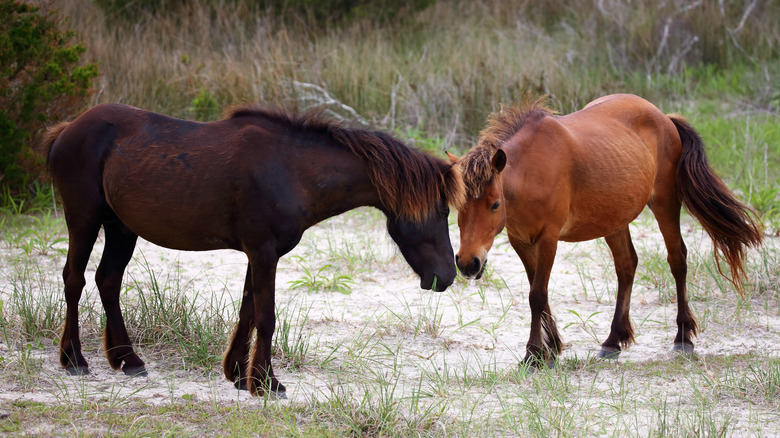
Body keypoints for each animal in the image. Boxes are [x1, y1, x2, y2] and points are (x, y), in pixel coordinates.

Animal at [42, 103, 466, 396]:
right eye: (441, 210)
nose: (448, 275)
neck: (292, 171)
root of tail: (67, 129)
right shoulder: (263, 252)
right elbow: (266, 315)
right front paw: (266, 382)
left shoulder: (257, 254)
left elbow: (247, 310)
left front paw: (238, 373)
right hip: (84, 219)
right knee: (74, 280)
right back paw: (74, 360)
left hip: (120, 228)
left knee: (108, 281)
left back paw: (127, 359)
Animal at [450, 94, 760, 364]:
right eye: (458, 206)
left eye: (494, 204)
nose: (467, 263)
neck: (531, 172)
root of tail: (664, 117)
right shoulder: (521, 241)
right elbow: (538, 293)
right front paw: (552, 348)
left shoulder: (549, 239)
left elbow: (537, 295)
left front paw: (534, 354)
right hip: (614, 220)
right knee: (627, 265)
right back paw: (613, 340)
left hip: (665, 203)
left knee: (677, 260)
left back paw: (683, 337)